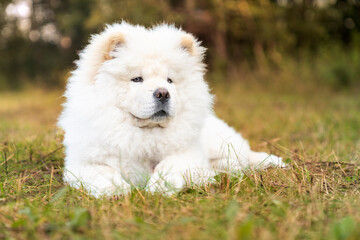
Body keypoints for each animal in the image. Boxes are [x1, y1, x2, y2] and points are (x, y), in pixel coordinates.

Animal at [58, 22, 284, 197]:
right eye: (137, 79)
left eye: (169, 80)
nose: (162, 93)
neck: (145, 133)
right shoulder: (82, 163)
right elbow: (103, 173)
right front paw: (116, 190)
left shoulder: (188, 154)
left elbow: (168, 166)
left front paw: (159, 187)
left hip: (220, 143)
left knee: (245, 155)